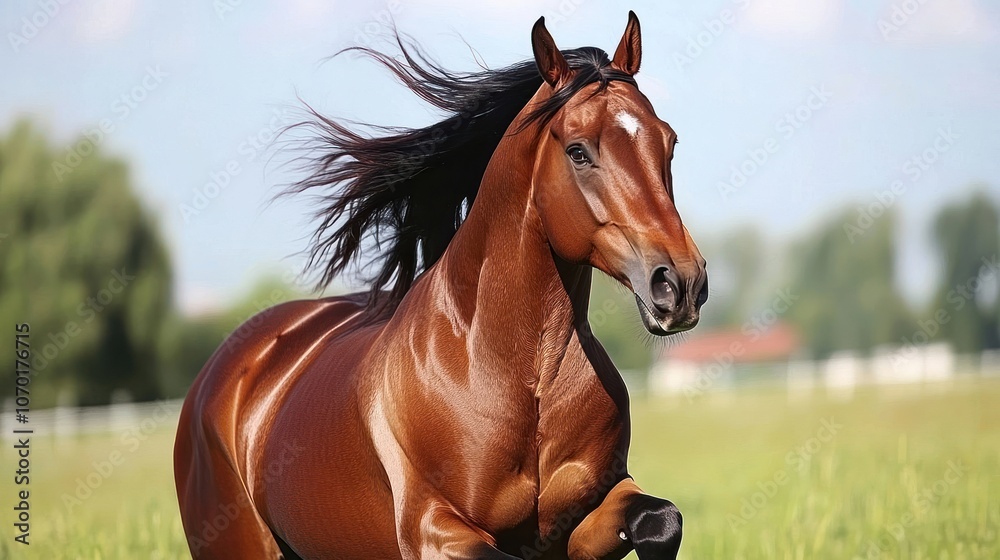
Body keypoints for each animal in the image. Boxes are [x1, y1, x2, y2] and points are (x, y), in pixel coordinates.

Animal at [174, 12, 708, 560]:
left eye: (668, 142)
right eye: (578, 152)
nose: (679, 283)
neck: (519, 377)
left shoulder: (586, 514)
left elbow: (660, 520)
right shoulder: (434, 528)